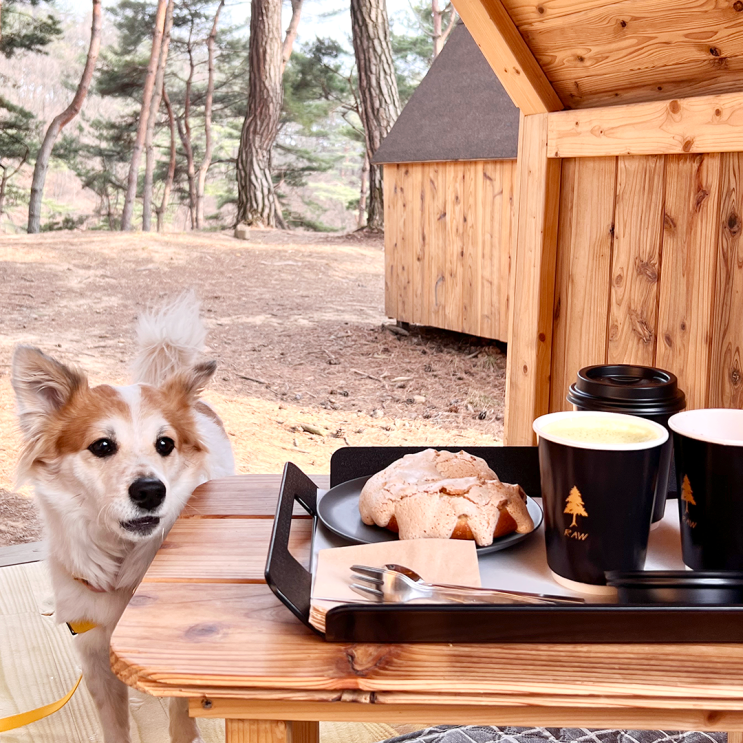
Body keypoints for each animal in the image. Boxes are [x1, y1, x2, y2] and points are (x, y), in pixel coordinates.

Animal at [10, 294, 234, 743]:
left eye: (165, 444)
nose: (150, 491)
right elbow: (114, 724)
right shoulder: (94, 651)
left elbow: (181, 723)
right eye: (102, 446)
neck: (122, 562)